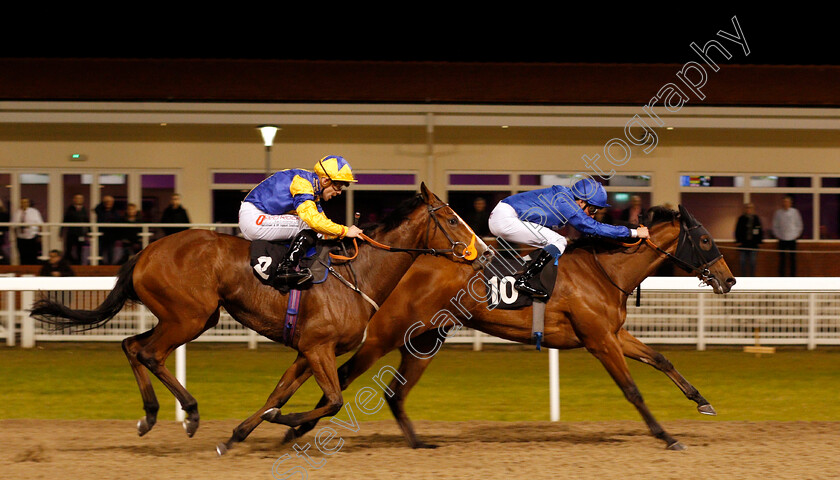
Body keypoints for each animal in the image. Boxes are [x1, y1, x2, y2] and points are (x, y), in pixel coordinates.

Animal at [29, 183, 492, 454]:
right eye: (451, 218)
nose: (484, 252)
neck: (358, 274)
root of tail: (146, 251)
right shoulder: (319, 348)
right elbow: (332, 400)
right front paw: (282, 424)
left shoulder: (307, 351)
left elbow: (279, 394)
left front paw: (240, 434)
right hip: (191, 317)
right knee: (148, 352)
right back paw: (188, 413)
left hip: (183, 316)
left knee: (130, 345)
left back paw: (151, 415)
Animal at [288, 205, 736, 450]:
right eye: (706, 241)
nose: (729, 280)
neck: (604, 271)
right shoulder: (599, 340)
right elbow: (632, 390)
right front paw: (666, 436)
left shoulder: (614, 334)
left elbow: (660, 359)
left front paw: (702, 401)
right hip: (385, 334)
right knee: (344, 374)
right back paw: (294, 429)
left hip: (426, 338)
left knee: (394, 393)